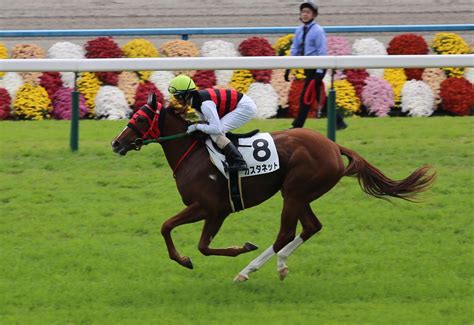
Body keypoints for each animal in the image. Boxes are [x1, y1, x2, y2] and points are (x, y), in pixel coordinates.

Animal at [110, 94, 434, 280]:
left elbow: (194, 241)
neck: (194, 155)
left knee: (285, 233)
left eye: (140, 117)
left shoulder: (212, 209)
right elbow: (171, 229)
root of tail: (333, 146)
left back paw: (247, 271)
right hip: (299, 194)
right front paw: (185, 259)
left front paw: (226, 251)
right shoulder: (206, 209)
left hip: (294, 192)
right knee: (311, 227)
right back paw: (280, 265)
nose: (116, 143)